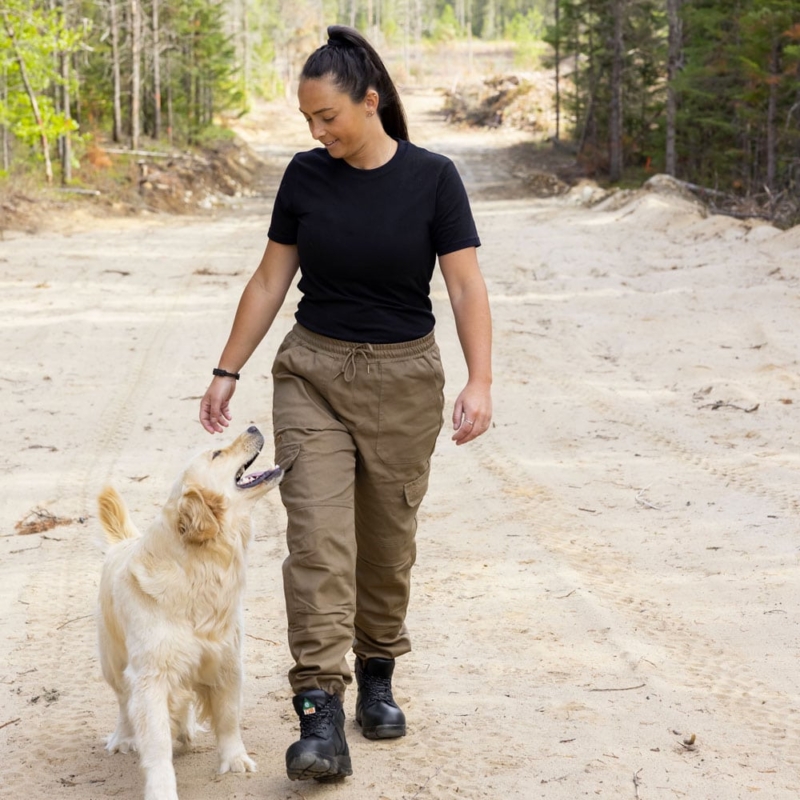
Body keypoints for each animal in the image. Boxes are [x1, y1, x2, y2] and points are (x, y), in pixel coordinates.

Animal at [96, 424, 282, 800]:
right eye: (217, 454)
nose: (254, 426)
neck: (201, 565)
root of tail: (123, 542)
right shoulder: (150, 677)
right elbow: (155, 744)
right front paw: (161, 789)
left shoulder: (225, 659)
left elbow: (228, 717)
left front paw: (235, 759)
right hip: (113, 660)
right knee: (123, 702)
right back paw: (123, 737)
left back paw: (184, 729)